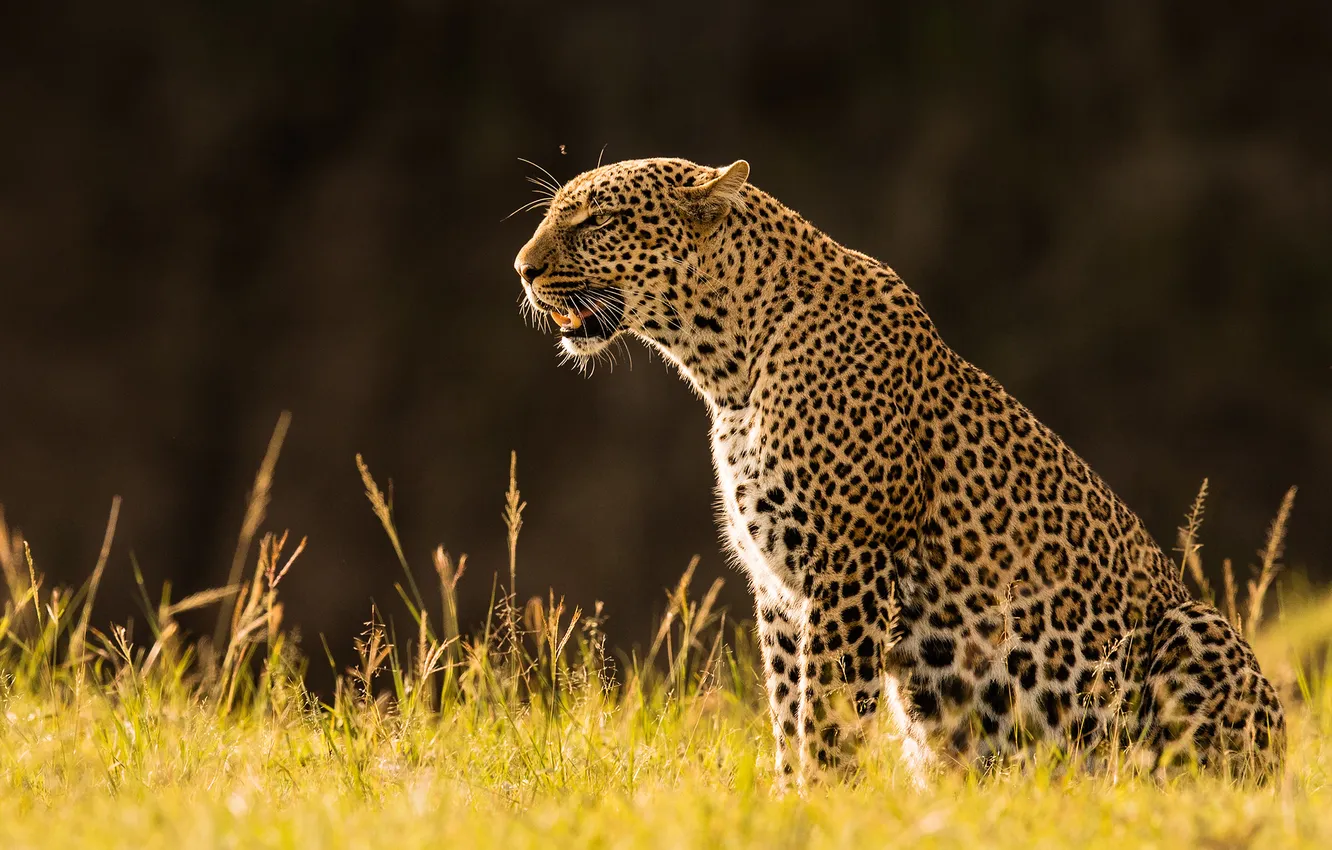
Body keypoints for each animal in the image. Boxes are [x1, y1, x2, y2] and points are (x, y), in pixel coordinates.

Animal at [512, 156, 1286, 787]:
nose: (522, 269)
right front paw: (788, 800)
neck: (728, 370)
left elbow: (827, 710)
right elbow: (788, 708)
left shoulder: (848, 561)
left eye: (598, 221)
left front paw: (823, 803)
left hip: (1193, 629)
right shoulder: (778, 586)